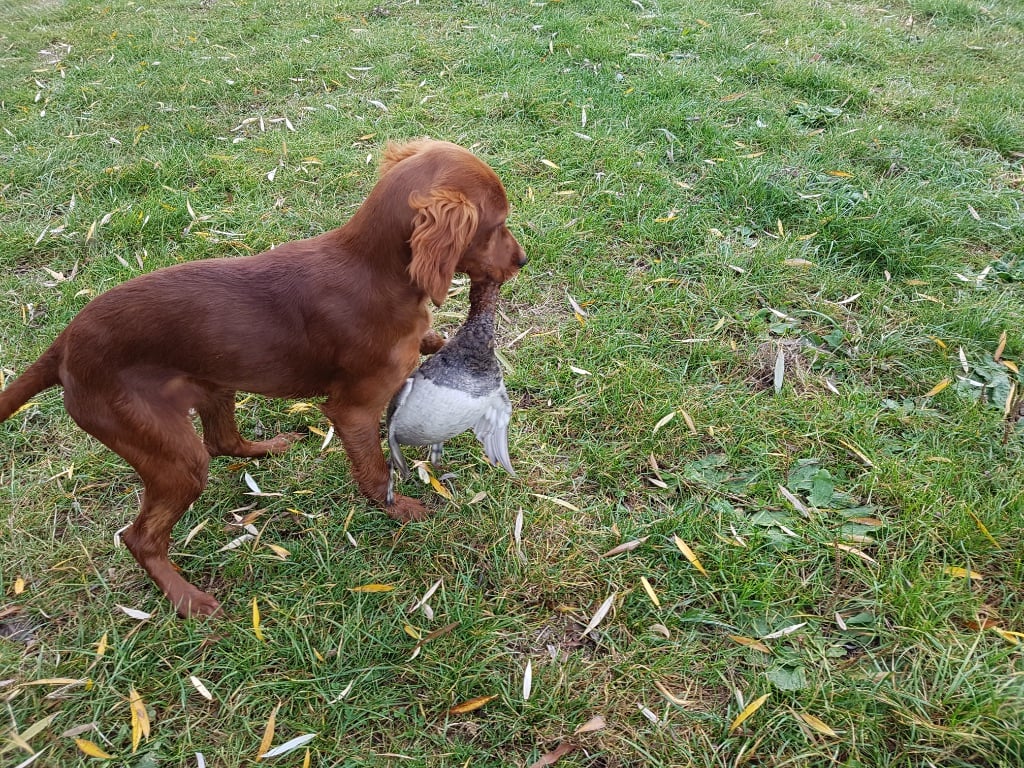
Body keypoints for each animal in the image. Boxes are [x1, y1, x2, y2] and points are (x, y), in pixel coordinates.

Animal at [2, 140, 528, 618]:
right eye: (496, 225)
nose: (522, 260)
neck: (376, 271)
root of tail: (64, 344)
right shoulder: (353, 409)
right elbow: (376, 469)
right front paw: (398, 509)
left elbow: (428, 341)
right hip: (169, 453)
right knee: (141, 536)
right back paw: (188, 600)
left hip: (213, 386)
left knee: (223, 441)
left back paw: (270, 447)